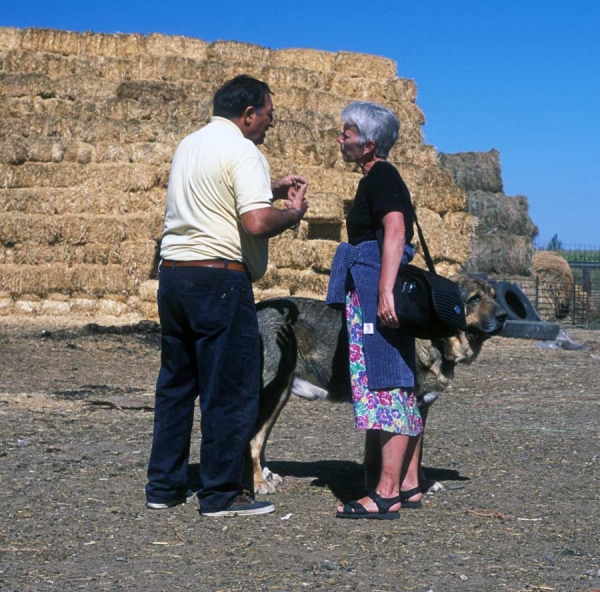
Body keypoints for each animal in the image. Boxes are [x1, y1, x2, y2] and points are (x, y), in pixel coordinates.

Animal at [250, 276, 506, 494]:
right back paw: (258, 483)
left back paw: (267, 475)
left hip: (280, 395)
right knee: (253, 440)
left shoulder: (421, 409)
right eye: (475, 298)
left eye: (494, 296)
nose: (504, 315)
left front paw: (421, 484)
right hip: (273, 392)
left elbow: (415, 454)